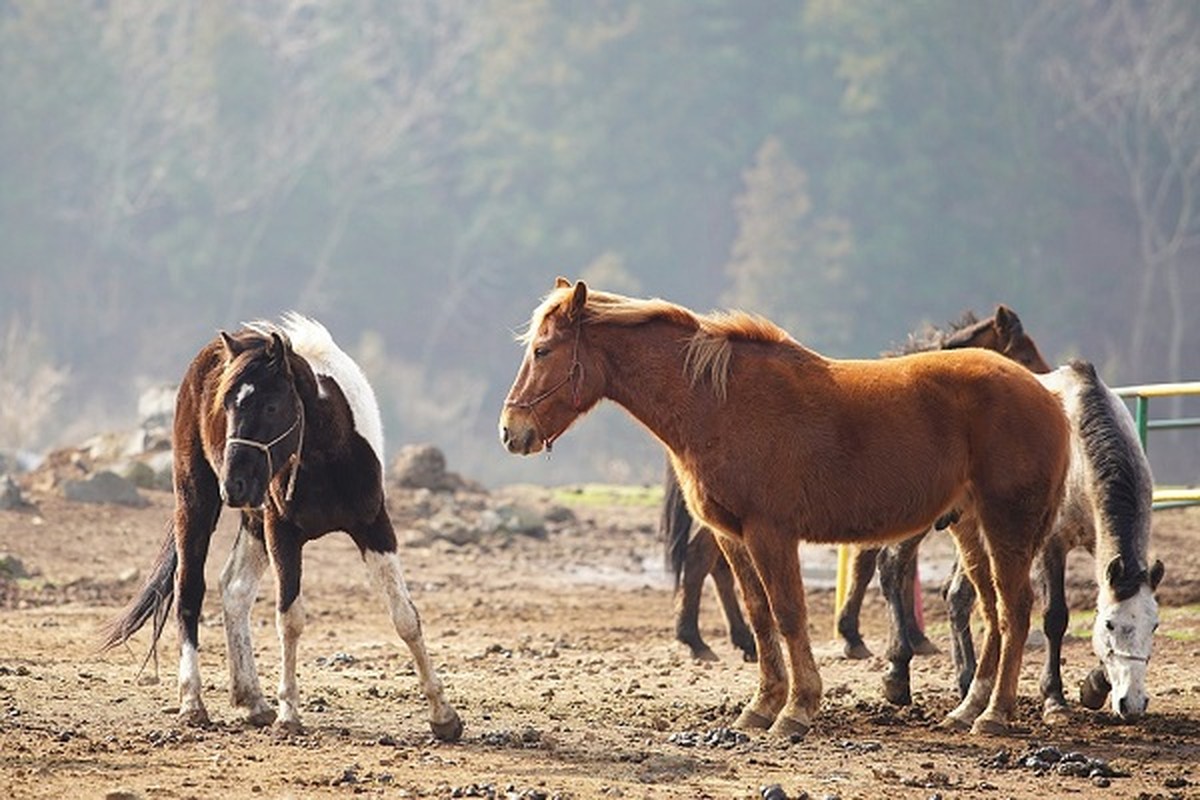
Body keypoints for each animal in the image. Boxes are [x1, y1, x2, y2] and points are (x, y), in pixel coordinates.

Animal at [102, 316, 463, 743]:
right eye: (226, 404)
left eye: (272, 405)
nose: (233, 485)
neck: (326, 456)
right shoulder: (282, 532)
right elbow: (289, 619)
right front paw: (289, 712)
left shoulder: (374, 526)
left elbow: (405, 616)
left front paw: (443, 715)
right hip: (196, 501)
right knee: (189, 590)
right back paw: (193, 703)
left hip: (253, 521)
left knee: (234, 588)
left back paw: (252, 700)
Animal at [496, 278, 1070, 734]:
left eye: (543, 350)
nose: (510, 431)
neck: (718, 401)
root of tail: (1047, 395)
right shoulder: (732, 536)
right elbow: (759, 613)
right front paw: (761, 705)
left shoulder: (771, 533)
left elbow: (789, 613)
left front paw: (797, 708)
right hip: (971, 527)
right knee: (993, 610)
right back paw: (969, 708)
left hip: (1006, 524)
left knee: (1016, 610)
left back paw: (994, 714)